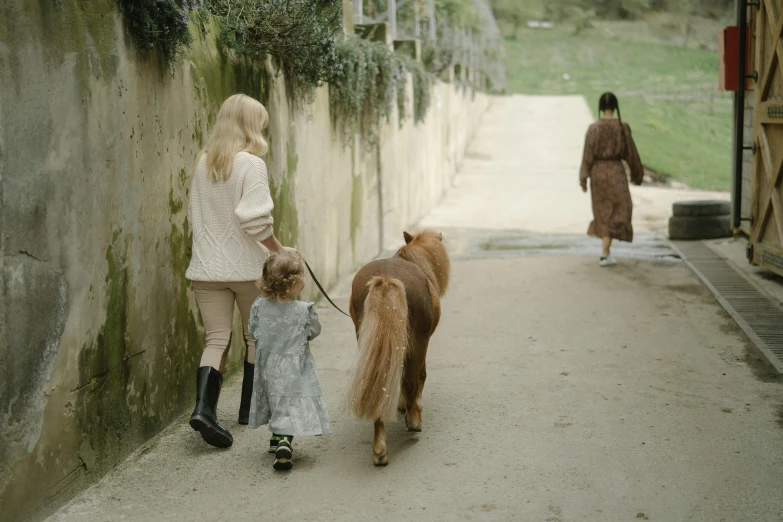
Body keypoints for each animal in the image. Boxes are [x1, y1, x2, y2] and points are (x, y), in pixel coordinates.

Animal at [348, 228, 450, 464]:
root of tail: (386, 279)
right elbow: (418, 377)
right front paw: (410, 406)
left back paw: (379, 450)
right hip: (418, 342)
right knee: (413, 378)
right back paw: (413, 421)